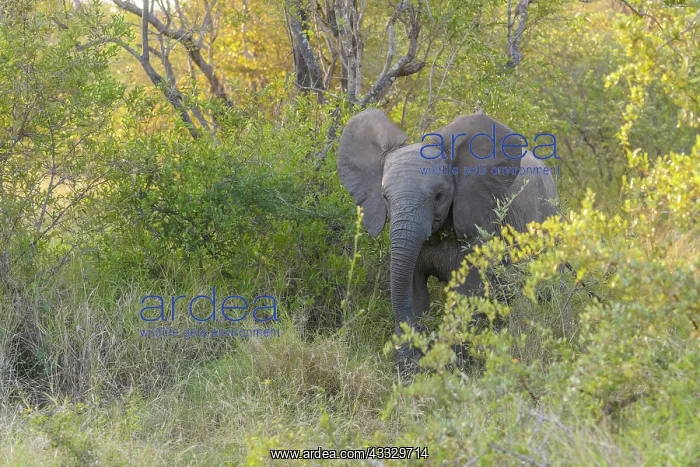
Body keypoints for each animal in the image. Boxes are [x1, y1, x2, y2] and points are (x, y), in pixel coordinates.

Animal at [336, 108, 560, 374]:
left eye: (439, 196)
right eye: (384, 197)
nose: (411, 358)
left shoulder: (479, 222)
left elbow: (467, 292)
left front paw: (456, 370)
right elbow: (412, 288)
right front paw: (408, 370)